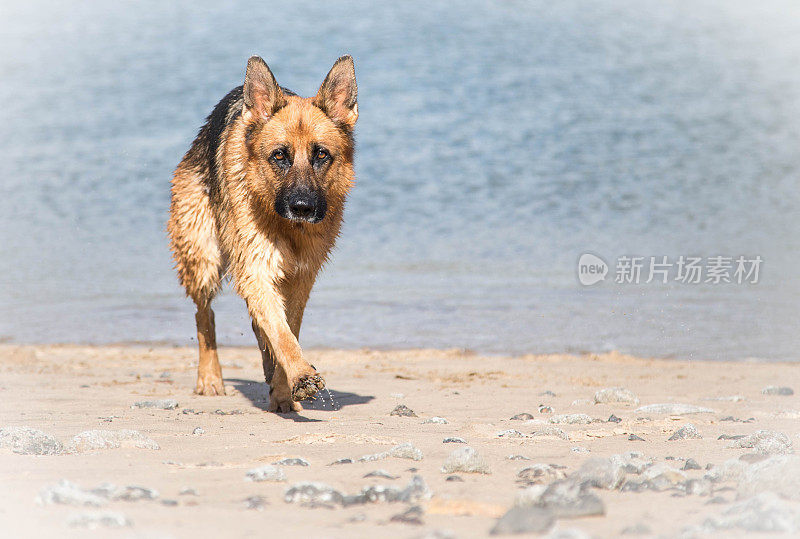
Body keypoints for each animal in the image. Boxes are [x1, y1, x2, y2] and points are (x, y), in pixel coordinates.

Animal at [167, 56, 358, 414]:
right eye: (279, 155)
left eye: (321, 154)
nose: (302, 207)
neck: (289, 228)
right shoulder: (256, 270)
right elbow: (282, 335)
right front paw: (301, 375)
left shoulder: (300, 279)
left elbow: (286, 330)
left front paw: (284, 390)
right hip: (202, 260)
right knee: (205, 316)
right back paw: (210, 378)